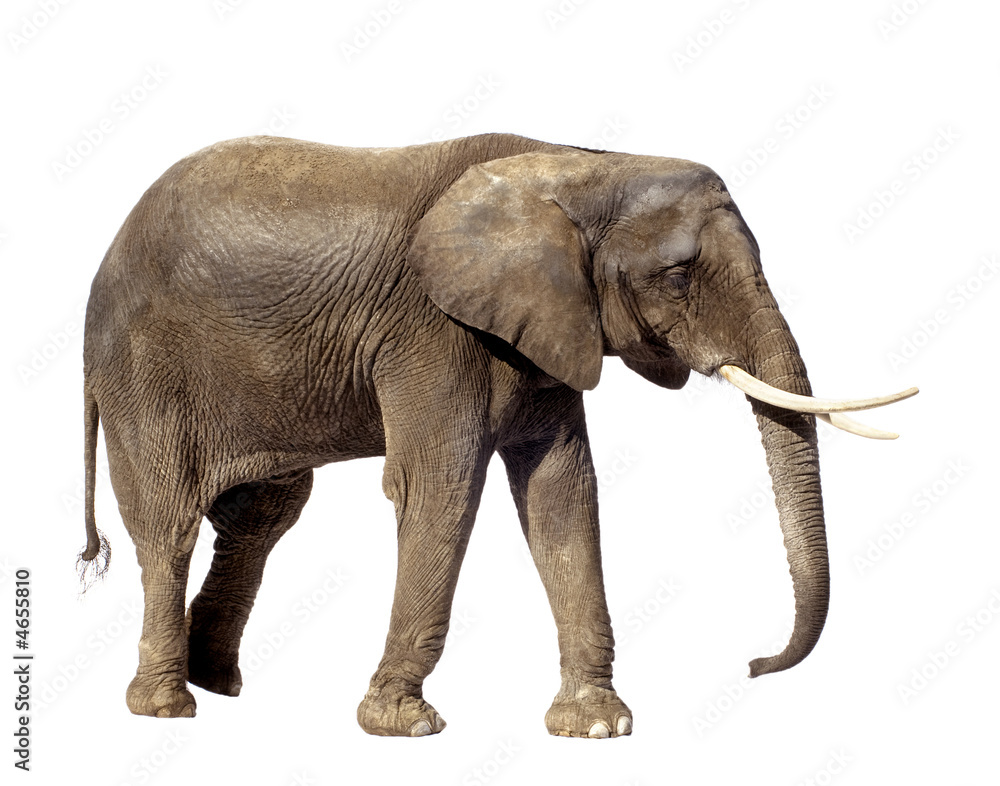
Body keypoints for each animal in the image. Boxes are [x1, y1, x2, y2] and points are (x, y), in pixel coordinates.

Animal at [79, 133, 916, 737]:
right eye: (678, 275)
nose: (751, 664)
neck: (579, 167)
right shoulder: (432, 330)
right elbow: (440, 485)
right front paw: (403, 725)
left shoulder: (547, 332)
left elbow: (561, 491)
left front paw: (597, 728)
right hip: (145, 371)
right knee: (169, 522)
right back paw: (168, 708)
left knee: (261, 517)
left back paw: (217, 686)